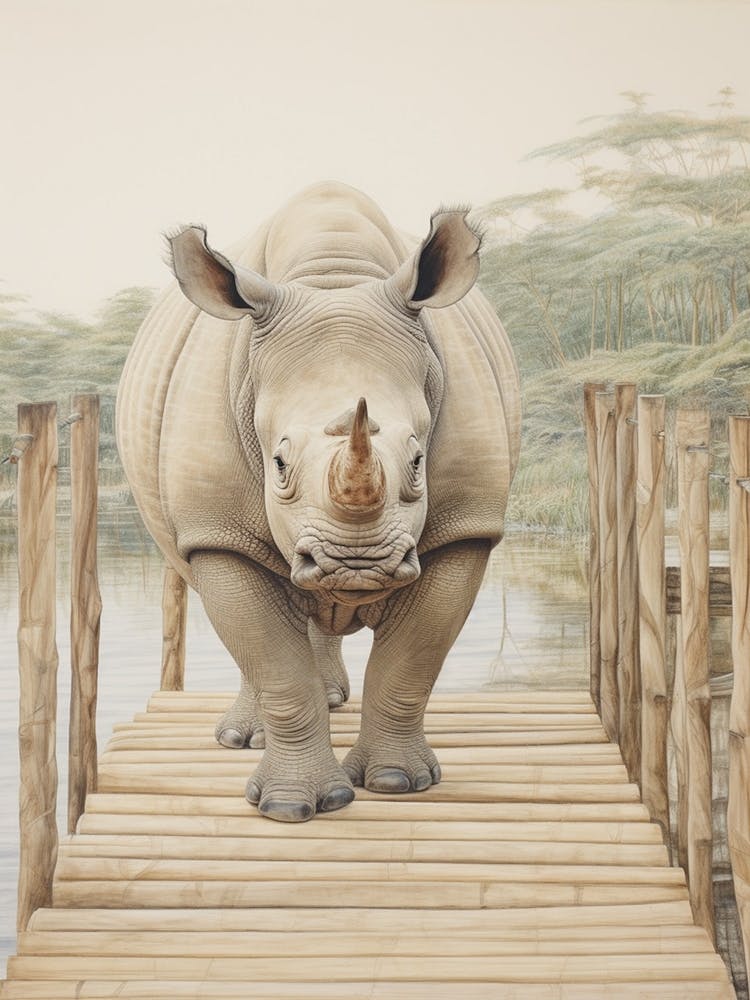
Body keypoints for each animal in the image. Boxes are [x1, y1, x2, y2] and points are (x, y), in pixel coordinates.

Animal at [116, 181, 521, 822]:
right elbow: (274, 663)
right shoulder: (217, 531)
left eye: (417, 460)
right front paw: (292, 807)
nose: (357, 564)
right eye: (278, 464)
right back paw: (245, 737)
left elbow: (413, 659)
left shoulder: (466, 526)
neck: (333, 280)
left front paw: (397, 782)